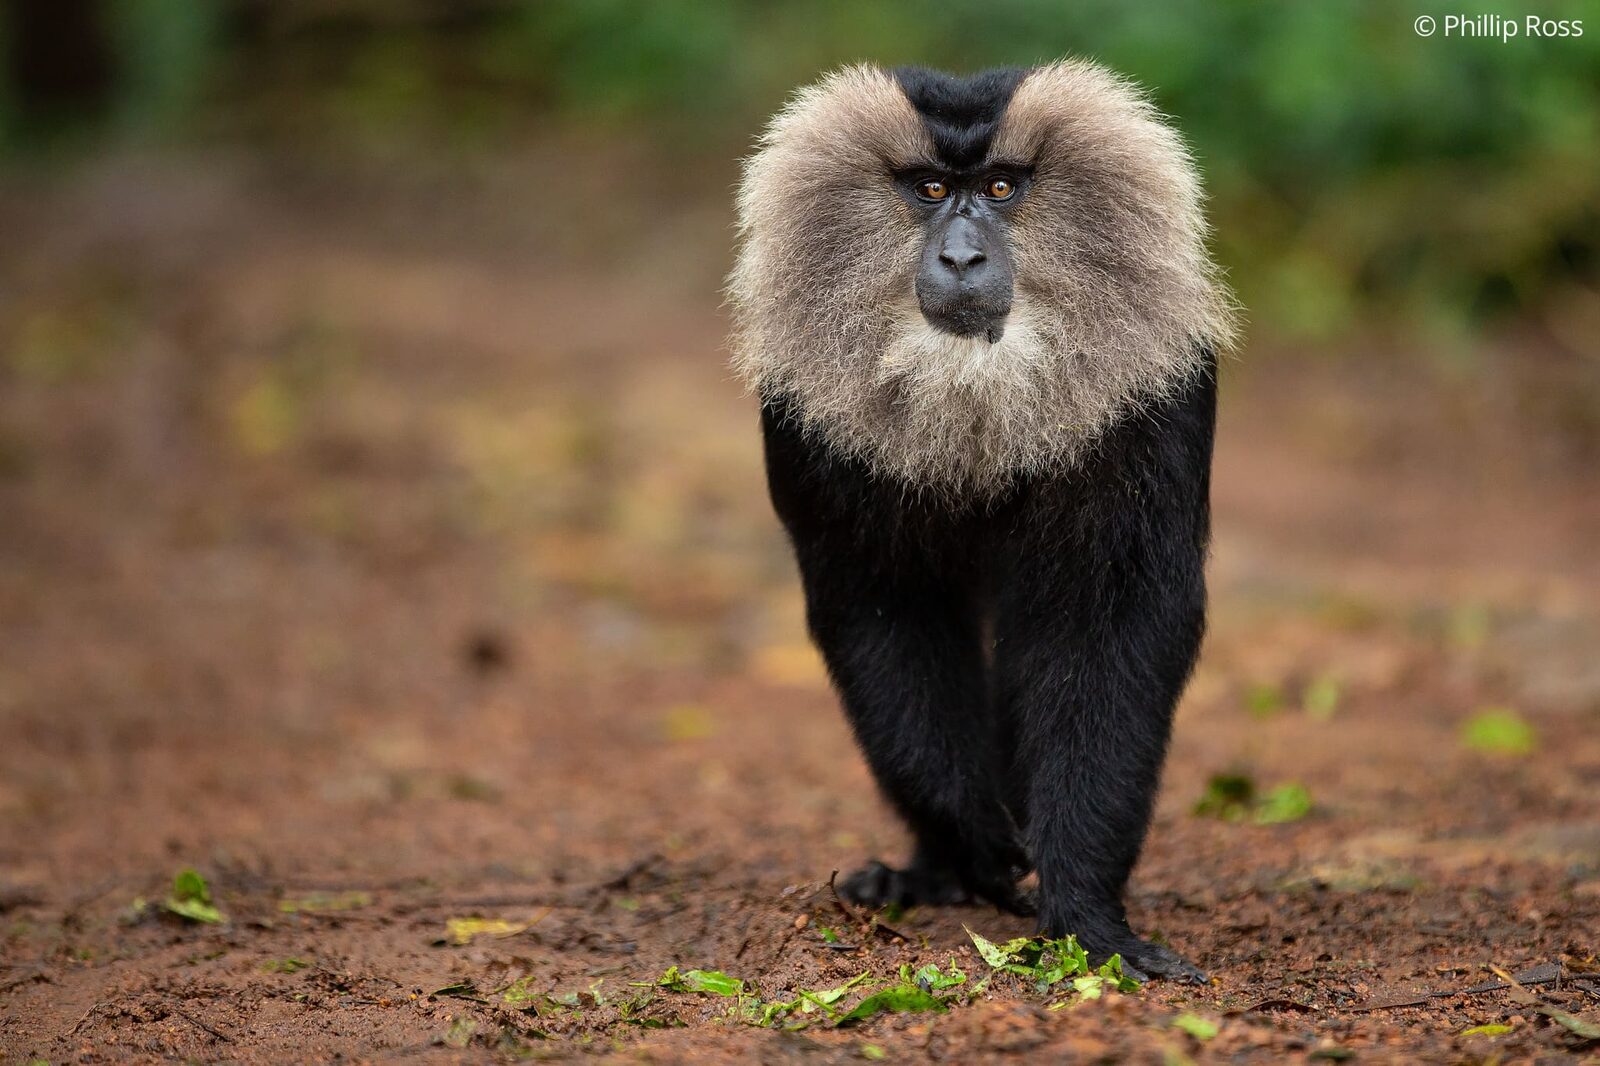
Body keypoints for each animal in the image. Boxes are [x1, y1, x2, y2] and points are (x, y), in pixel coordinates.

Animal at [728, 61, 1237, 982]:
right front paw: (975, 847)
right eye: (930, 189)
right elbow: (883, 615)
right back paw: (933, 872)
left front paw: (1086, 915)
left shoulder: (1157, 401)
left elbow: (1111, 625)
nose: (961, 254)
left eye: (1000, 187)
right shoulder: (805, 426)